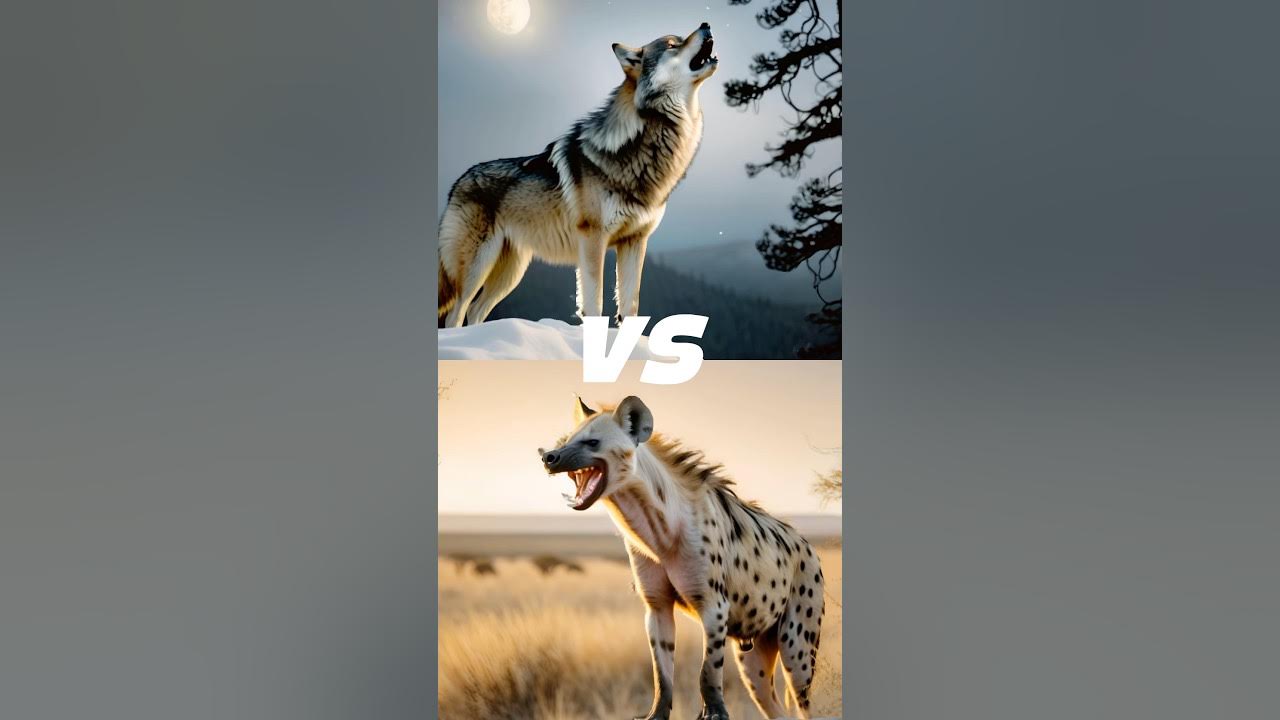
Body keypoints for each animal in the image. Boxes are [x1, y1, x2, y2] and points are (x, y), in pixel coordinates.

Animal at [438, 23, 719, 327]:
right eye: (671, 44)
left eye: (679, 38)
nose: (705, 25)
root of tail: (458, 182)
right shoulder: (593, 240)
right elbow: (594, 304)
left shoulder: (635, 241)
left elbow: (630, 306)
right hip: (477, 267)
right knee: (456, 313)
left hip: (510, 271)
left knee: (476, 311)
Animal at [539, 397, 826, 720]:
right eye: (566, 440)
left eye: (592, 442)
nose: (550, 456)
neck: (658, 532)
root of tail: (809, 546)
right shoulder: (656, 607)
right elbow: (661, 672)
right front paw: (655, 713)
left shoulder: (715, 606)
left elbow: (708, 670)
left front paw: (714, 713)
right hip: (754, 656)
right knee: (773, 704)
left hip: (797, 644)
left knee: (804, 701)